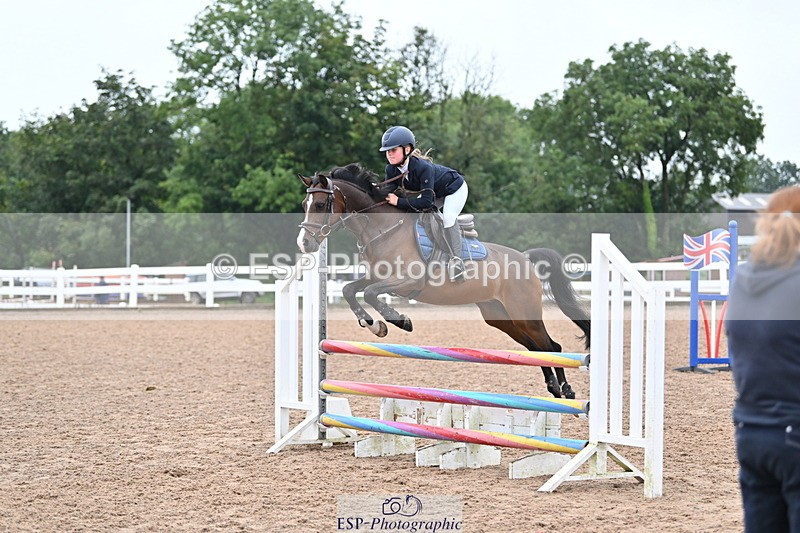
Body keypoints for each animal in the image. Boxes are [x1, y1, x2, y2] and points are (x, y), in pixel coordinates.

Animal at [296, 163, 590, 399]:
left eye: (320, 205)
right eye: (304, 206)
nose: (305, 243)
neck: (383, 229)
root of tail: (526, 259)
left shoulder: (406, 281)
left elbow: (370, 293)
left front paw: (399, 320)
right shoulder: (377, 276)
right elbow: (350, 290)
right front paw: (373, 325)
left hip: (524, 313)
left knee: (551, 346)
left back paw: (566, 389)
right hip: (501, 317)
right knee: (535, 348)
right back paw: (553, 387)